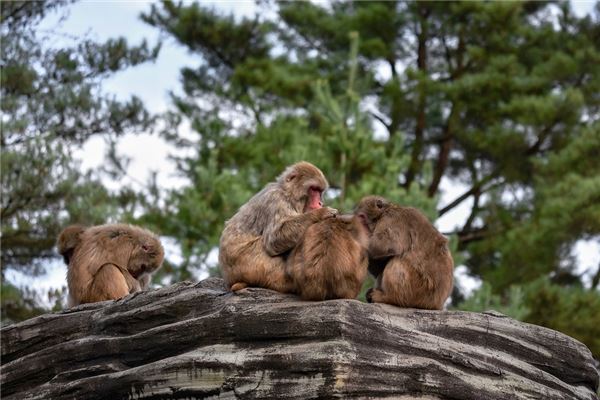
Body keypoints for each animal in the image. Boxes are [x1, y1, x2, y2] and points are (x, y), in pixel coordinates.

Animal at [218, 162, 338, 294]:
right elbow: (274, 238)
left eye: (319, 191)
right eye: (313, 189)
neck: (288, 194)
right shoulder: (276, 200)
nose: (320, 203)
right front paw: (321, 213)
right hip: (248, 263)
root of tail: (229, 279)